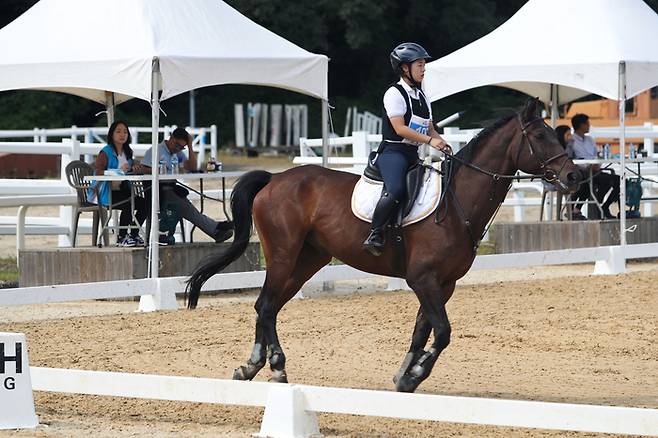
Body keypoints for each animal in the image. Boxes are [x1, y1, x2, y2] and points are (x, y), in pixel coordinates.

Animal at [184, 97, 580, 392]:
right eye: (541, 136)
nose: (573, 175)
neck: (457, 202)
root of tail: (274, 179)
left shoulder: (443, 283)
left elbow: (424, 330)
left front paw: (405, 375)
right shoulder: (423, 279)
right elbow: (443, 331)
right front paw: (416, 374)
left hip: (307, 261)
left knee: (266, 307)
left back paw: (250, 367)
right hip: (282, 255)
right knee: (266, 306)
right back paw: (277, 369)